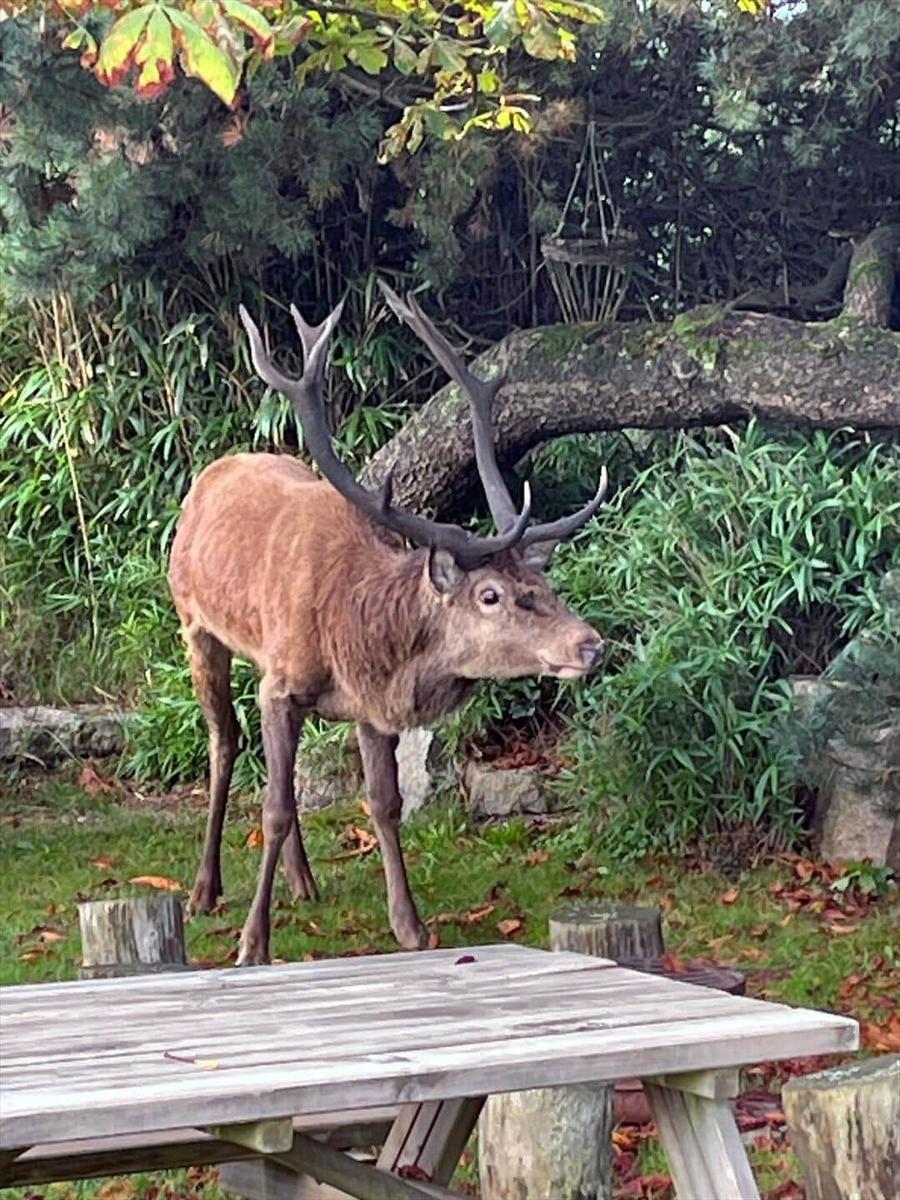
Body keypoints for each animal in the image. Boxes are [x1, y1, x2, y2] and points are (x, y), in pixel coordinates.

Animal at [168, 282, 607, 965]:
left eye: (545, 585)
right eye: (490, 595)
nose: (589, 644)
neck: (353, 635)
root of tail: (211, 475)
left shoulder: (367, 707)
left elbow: (384, 803)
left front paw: (411, 926)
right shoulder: (282, 683)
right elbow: (273, 808)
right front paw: (252, 943)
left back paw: (304, 880)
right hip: (197, 625)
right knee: (225, 742)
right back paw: (204, 891)